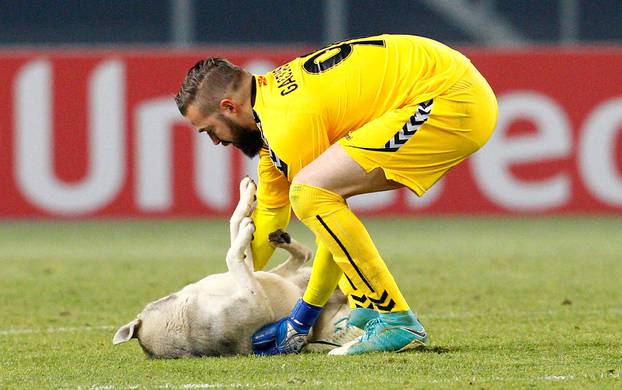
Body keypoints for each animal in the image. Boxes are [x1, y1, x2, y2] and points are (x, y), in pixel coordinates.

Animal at [112, 178, 354, 358]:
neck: (183, 313)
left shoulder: (248, 274)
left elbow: (234, 228)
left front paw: (247, 196)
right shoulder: (257, 302)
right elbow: (233, 253)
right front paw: (247, 218)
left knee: (304, 253)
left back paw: (281, 238)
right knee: (305, 255)